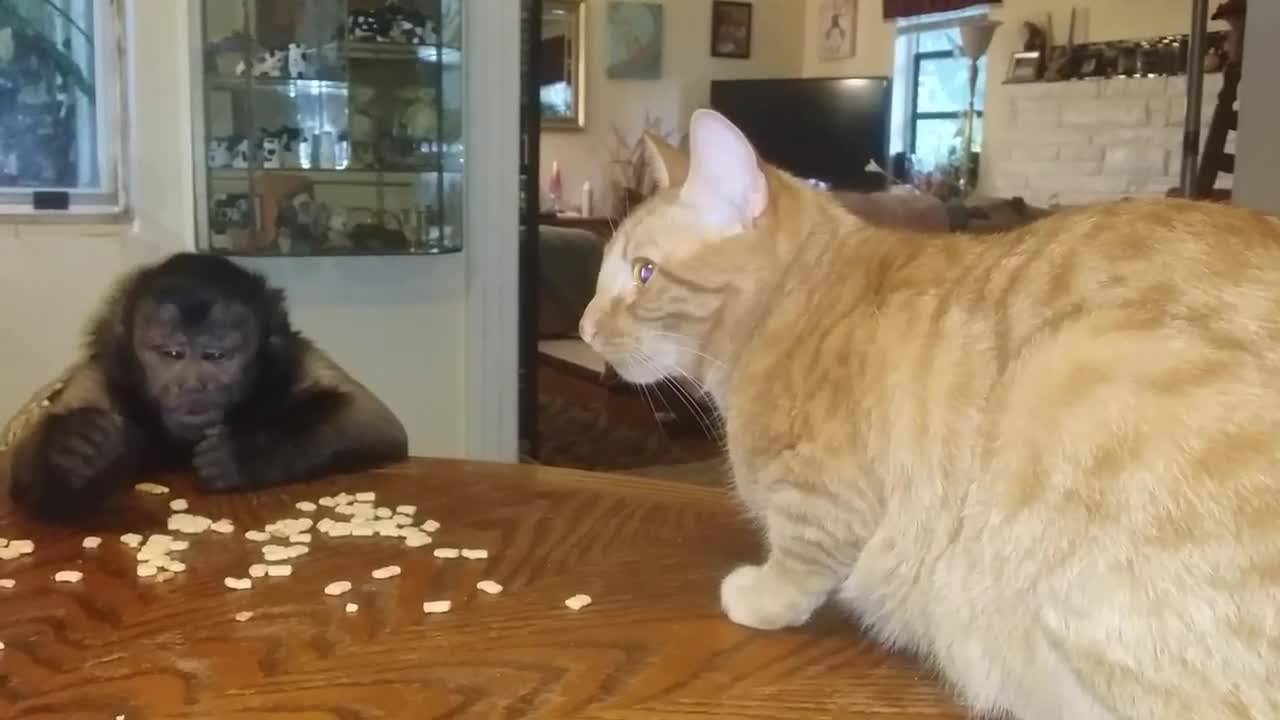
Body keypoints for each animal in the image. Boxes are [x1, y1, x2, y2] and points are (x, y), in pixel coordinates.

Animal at [0, 252, 407, 515]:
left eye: (215, 356)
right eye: (172, 354)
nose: (193, 385)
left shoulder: (290, 358)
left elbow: (371, 419)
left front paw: (247, 453)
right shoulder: (104, 375)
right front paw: (77, 450)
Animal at [581, 107, 1280, 717]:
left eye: (643, 273)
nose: (584, 329)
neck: (792, 306)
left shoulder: (826, 498)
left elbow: (802, 559)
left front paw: (761, 596)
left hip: (1073, 366)